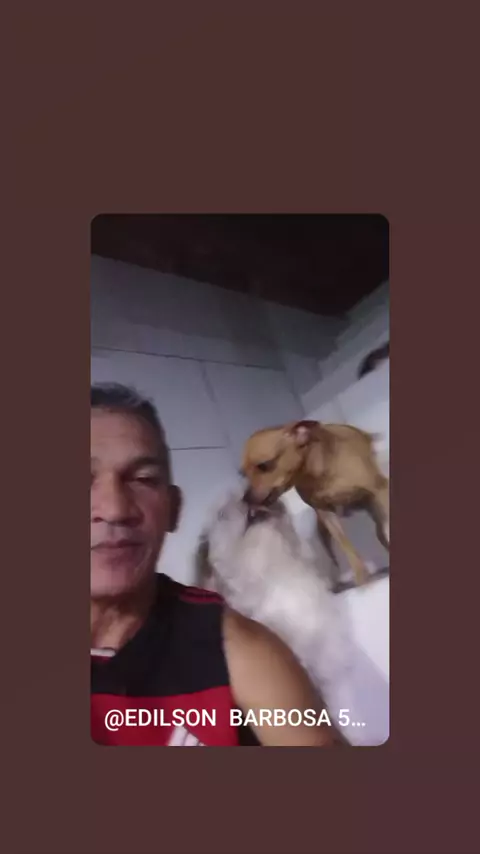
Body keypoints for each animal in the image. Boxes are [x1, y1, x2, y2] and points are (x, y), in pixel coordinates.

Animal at [241, 420, 389, 587]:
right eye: (243, 474)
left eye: (264, 465)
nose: (245, 498)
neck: (318, 472)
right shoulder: (327, 514)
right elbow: (347, 547)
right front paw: (362, 577)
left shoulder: (380, 489)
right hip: (323, 531)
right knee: (334, 558)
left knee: (381, 532)